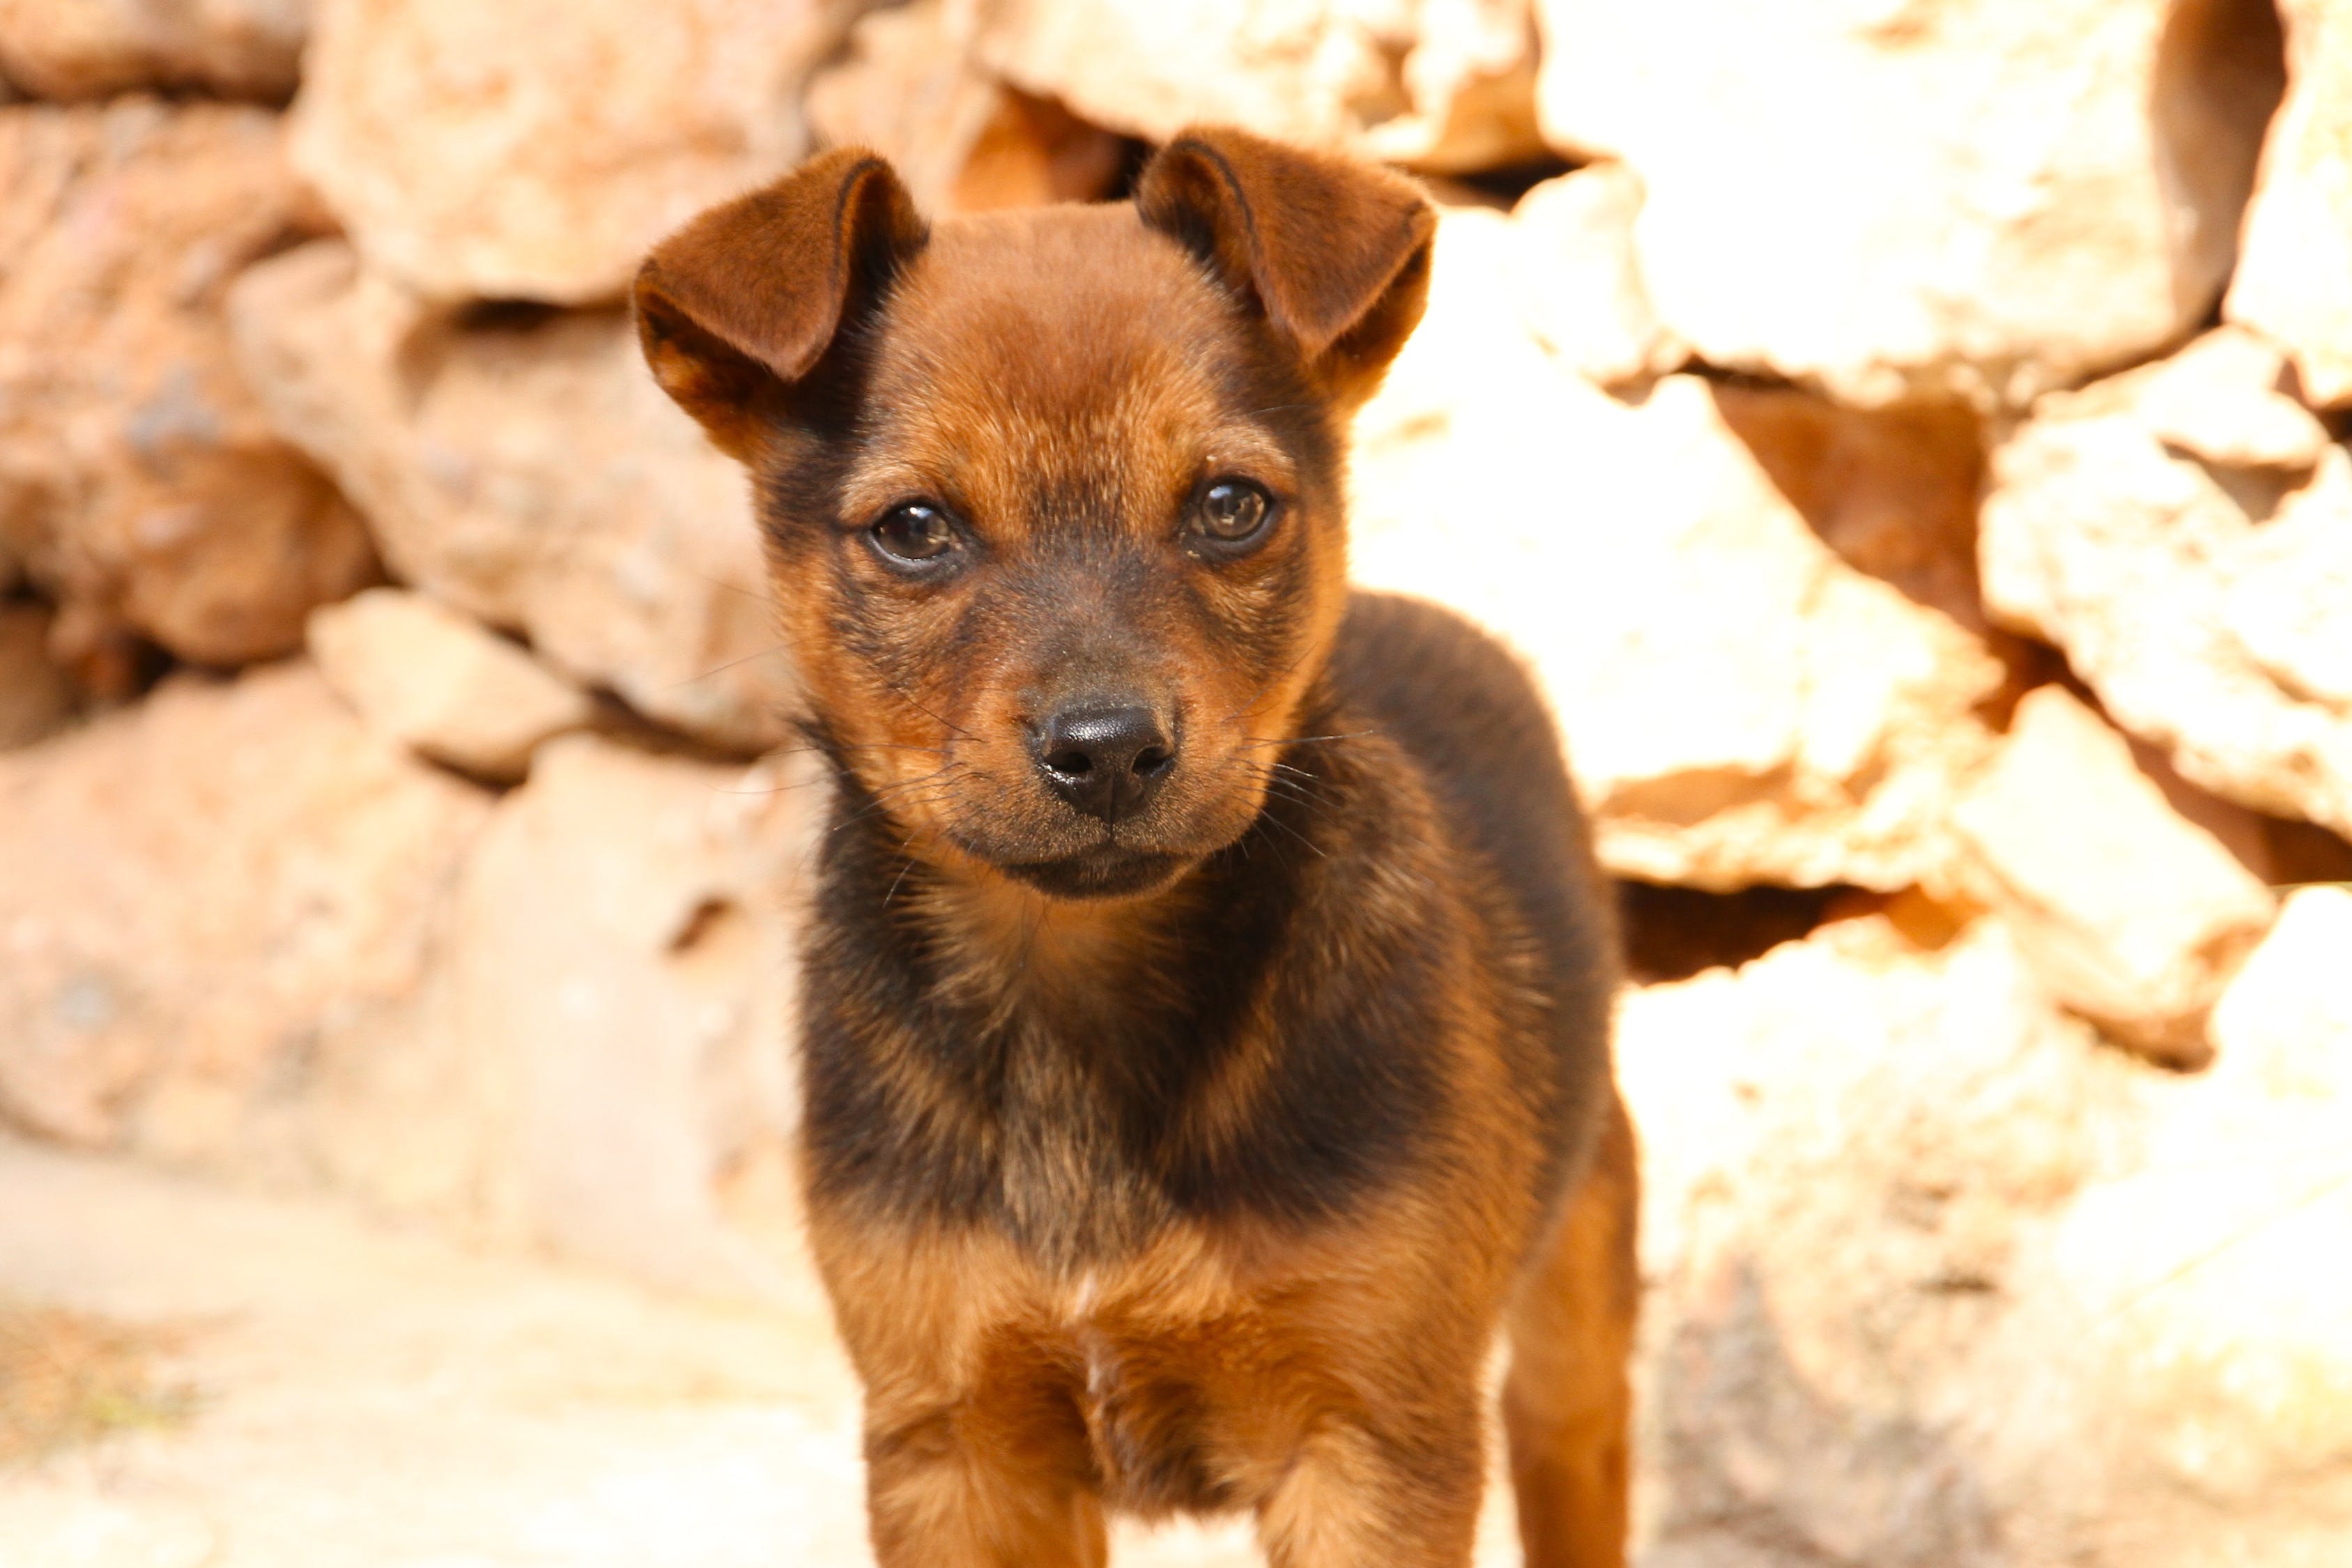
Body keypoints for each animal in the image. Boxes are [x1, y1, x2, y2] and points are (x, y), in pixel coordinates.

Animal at [635, 125, 1646, 1568]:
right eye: (913, 530)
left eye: (1231, 506)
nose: (1107, 748)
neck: (1071, 990)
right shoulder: (954, 1444)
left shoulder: (1374, 1442)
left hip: (1578, 1280)